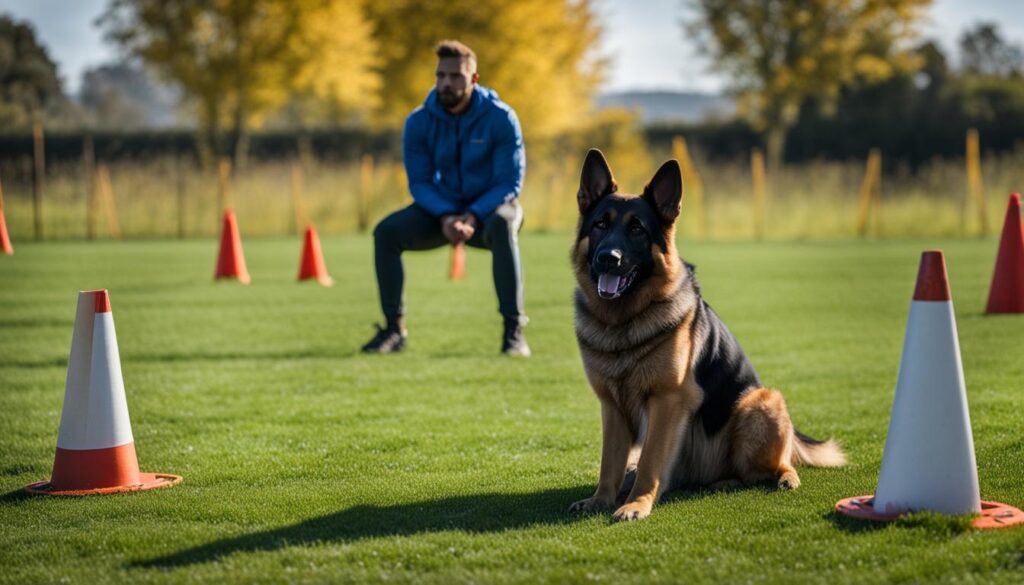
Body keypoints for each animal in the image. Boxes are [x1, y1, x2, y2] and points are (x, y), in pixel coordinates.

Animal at [573, 149, 843, 522]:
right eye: (600, 224)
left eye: (637, 229)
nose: (607, 259)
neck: (623, 324)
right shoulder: (612, 406)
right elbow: (609, 463)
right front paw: (601, 500)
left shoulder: (667, 400)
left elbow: (650, 462)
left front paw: (637, 504)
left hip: (760, 402)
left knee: (773, 466)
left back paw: (780, 478)